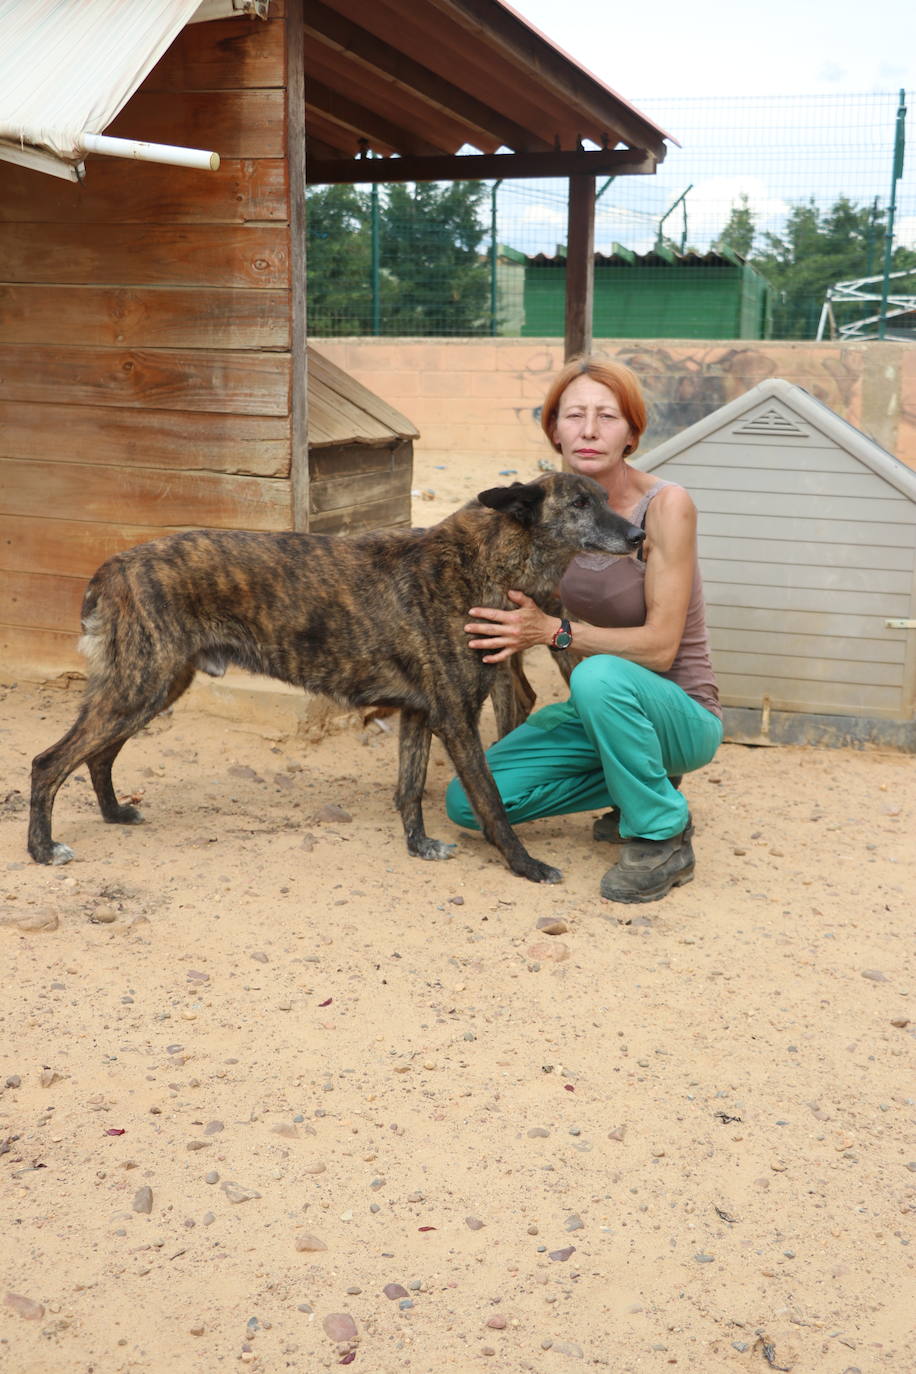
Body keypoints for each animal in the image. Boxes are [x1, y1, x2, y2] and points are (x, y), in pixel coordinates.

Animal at [28, 472, 645, 879]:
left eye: (607, 498)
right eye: (580, 502)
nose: (639, 538)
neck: (486, 561)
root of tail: (116, 564)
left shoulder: (419, 713)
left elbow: (408, 790)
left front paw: (419, 847)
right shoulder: (455, 717)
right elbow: (491, 802)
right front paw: (525, 864)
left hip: (152, 688)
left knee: (98, 754)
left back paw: (113, 814)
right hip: (140, 686)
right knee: (49, 761)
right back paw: (42, 849)